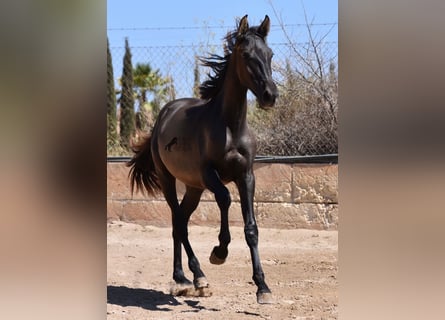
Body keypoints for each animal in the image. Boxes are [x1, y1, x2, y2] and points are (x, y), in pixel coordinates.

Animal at [127, 15, 278, 304]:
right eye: (246, 54)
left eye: (270, 54)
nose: (270, 95)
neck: (230, 126)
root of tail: (163, 115)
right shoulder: (210, 175)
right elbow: (225, 200)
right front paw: (219, 252)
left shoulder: (246, 176)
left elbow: (251, 229)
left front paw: (262, 287)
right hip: (168, 180)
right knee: (179, 222)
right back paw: (196, 276)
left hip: (193, 188)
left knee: (180, 222)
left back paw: (184, 278)